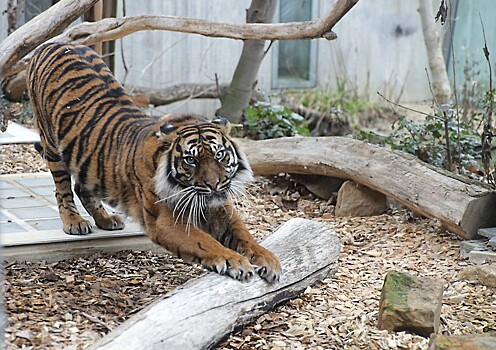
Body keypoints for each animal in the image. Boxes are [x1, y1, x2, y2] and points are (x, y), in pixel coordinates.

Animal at [27, 42, 280, 282]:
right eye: (190, 160)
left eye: (219, 155)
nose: (214, 185)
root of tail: (54, 43)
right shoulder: (164, 222)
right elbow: (206, 242)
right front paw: (235, 261)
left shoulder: (220, 208)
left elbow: (244, 235)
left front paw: (268, 259)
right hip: (52, 145)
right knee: (62, 190)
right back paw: (74, 221)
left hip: (85, 158)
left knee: (82, 186)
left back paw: (106, 219)